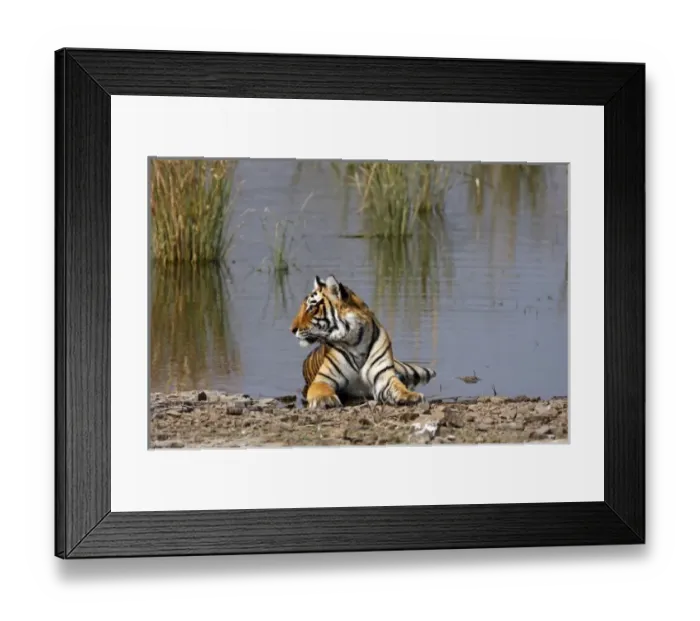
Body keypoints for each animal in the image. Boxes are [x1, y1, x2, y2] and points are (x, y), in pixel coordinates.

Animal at [289, 274, 437, 409]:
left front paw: (410, 395)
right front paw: (324, 399)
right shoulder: (324, 378)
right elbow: (321, 388)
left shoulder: (384, 378)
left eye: (312, 308)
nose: (292, 329)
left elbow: (399, 387)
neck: (355, 340)